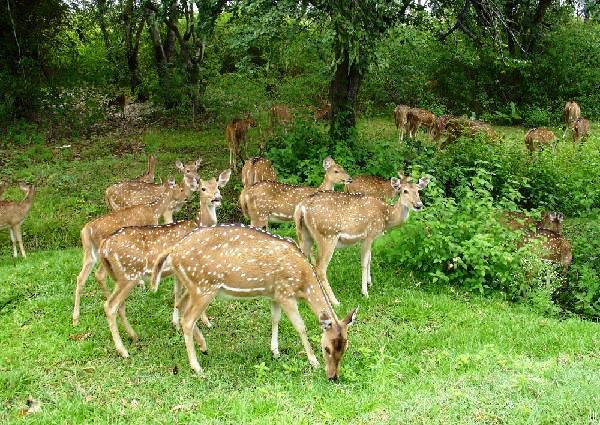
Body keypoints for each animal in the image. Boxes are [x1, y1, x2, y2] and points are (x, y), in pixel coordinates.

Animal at [72, 177, 192, 326]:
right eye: (180, 189)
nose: (187, 198)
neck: (155, 210)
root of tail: (86, 230)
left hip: (90, 253)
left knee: (81, 277)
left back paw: (76, 319)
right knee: (99, 275)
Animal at [97, 167, 231, 356]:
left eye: (218, 186)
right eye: (203, 188)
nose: (217, 198)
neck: (198, 224)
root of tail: (104, 247)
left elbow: (177, 294)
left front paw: (176, 323)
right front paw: (205, 322)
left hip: (119, 275)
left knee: (118, 305)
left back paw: (134, 336)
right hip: (129, 274)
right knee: (110, 306)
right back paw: (123, 350)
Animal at [150, 224, 358, 380]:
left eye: (345, 348)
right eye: (326, 348)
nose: (333, 376)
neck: (303, 282)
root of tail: (173, 250)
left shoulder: (275, 294)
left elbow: (275, 319)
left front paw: (275, 351)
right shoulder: (286, 293)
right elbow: (300, 326)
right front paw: (313, 361)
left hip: (192, 286)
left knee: (181, 306)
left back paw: (203, 347)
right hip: (204, 287)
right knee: (187, 319)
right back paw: (197, 367)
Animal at [294, 171, 426, 304]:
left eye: (418, 191)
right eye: (404, 191)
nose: (418, 205)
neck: (386, 217)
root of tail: (301, 208)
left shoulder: (370, 238)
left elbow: (369, 259)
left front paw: (369, 282)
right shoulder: (369, 234)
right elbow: (364, 262)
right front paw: (365, 292)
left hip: (305, 235)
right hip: (327, 235)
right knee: (320, 268)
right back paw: (335, 301)